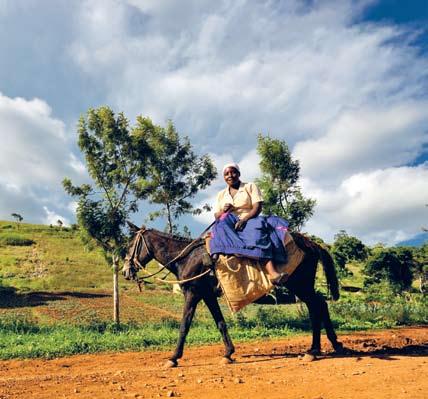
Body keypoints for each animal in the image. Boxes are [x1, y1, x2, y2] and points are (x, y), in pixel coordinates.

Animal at [122, 223, 342, 368]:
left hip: (299, 285)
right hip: (303, 287)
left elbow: (184, 325)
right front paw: (228, 353)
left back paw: (314, 350)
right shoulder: (207, 295)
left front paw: (173, 357)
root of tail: (311, 244)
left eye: (131, 245)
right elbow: (220, 322)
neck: (187, 257)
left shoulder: (193, 293)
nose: (125, 271)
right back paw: (334, 344)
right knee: (320, 305)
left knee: (316, 306)